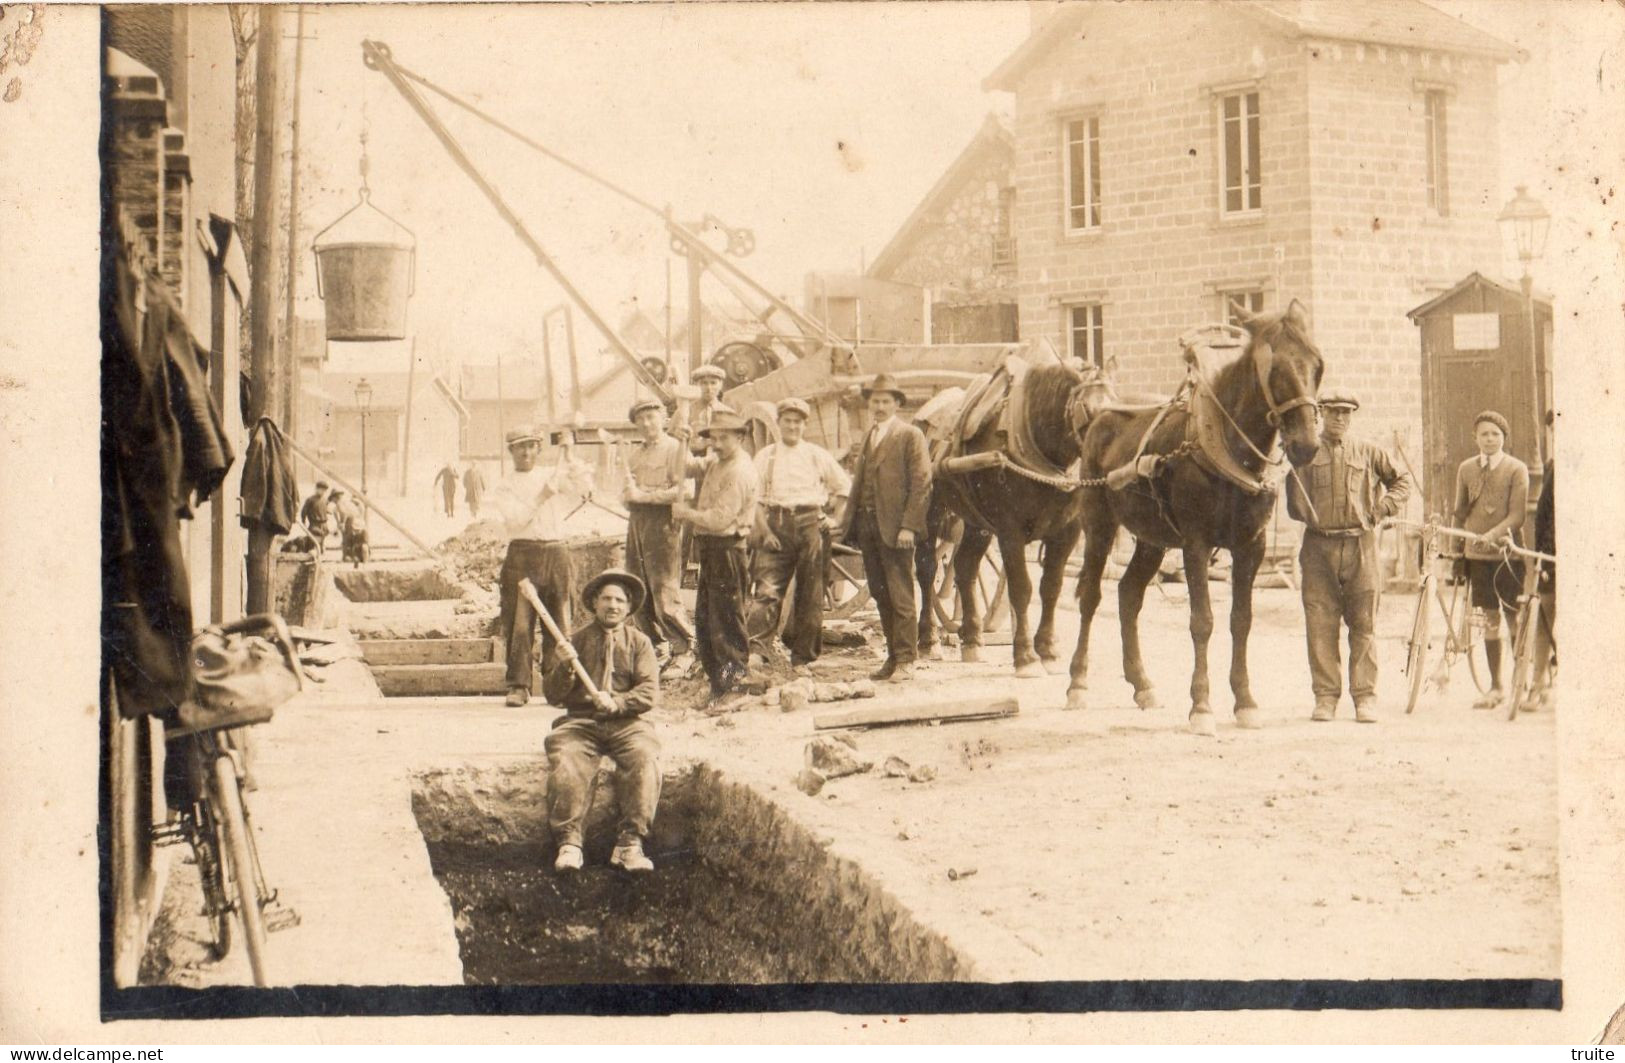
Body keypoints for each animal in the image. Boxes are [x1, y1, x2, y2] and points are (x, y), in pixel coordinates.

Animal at [936, 357, 1111, 676]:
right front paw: (1026, 656)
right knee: (923, 569)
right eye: (1088, 411)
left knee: (965, 566)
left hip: (976, 523)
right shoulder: (1010, 531)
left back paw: (972, 639)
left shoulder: (1066, 531)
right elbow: (1021, 588)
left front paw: (1049, 650)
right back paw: (927, 639)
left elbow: (1051, 587)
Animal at [1066, 299, 1319, 734]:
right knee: (1091, 595)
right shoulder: (1196, 545)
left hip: (1152, 539)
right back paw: (1078, 683)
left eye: (1317, 364)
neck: (1231, 449)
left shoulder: (1251, 548)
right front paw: (1202, 706)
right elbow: (1203, 621)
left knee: (1128, 594)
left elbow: (1241, 620)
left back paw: (1142, 684)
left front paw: (1245, 702)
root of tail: (1100, 417)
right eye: (1274, 369)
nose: (1307, 444)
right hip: (1098, 525)